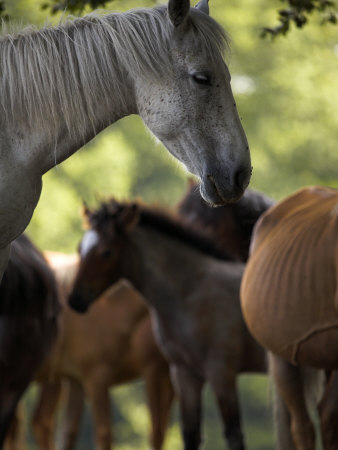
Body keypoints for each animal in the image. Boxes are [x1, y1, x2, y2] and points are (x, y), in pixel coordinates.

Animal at [67, 199, 266, 450]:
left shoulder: (221, 371)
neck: (191, 291)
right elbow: (190, 434)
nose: (75, 299)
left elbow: (234, 434)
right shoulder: (184, 373)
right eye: (79, 248)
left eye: (107, 252)